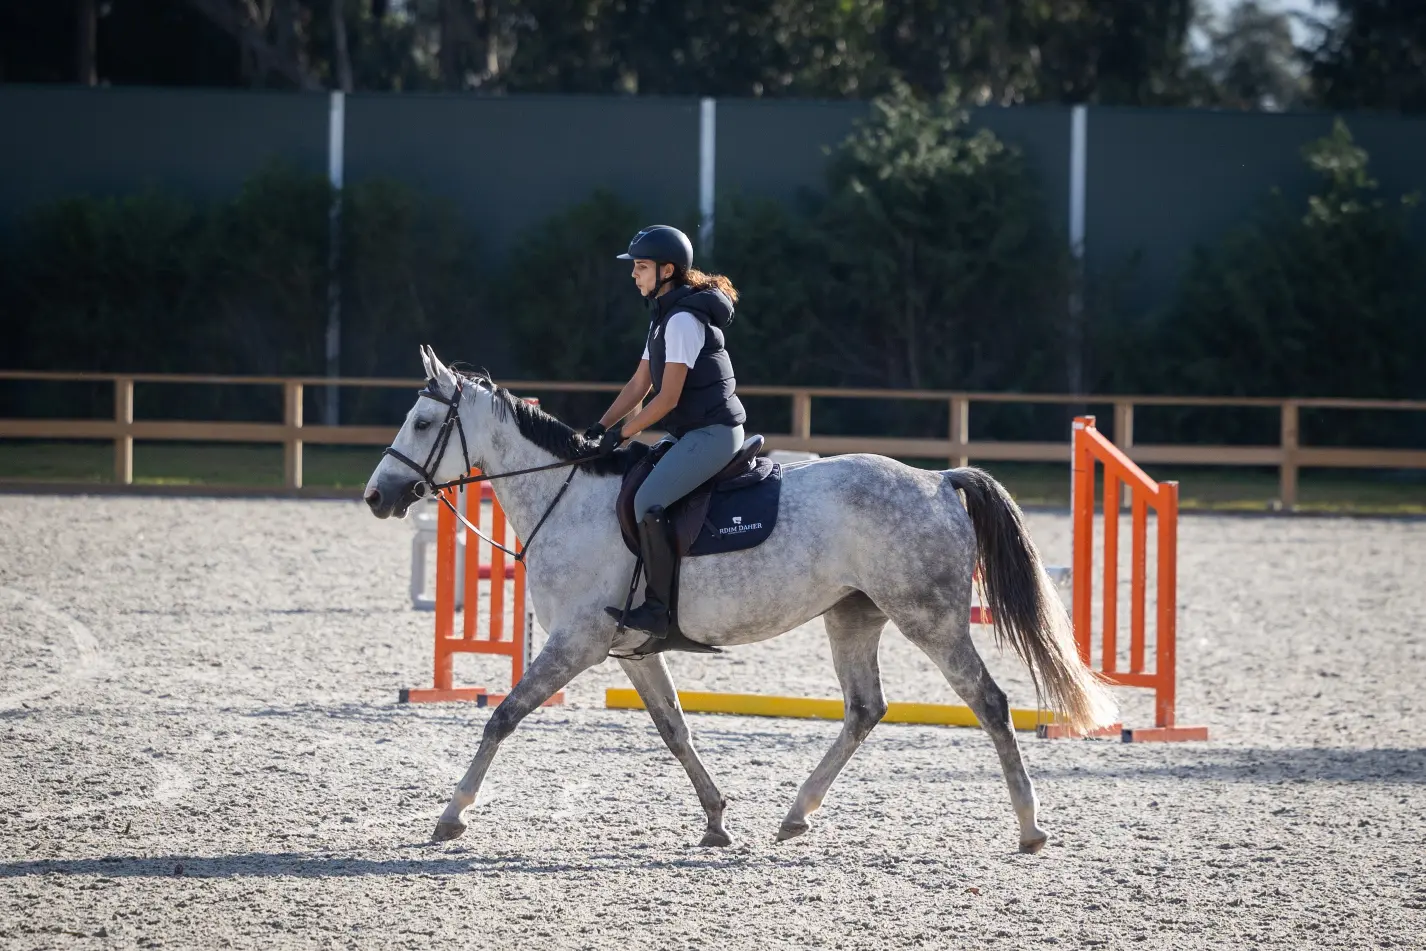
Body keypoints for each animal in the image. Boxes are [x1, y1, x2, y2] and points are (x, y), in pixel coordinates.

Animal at [363, 346, 1118, 853]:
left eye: (423, 422)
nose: (376, 496)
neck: (566, 496)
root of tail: (938, 481)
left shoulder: (575, 643)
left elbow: (503, 717)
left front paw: (452, 814)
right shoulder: (629, 650)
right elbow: (675, 730)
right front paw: (717, 819)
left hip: (928, 619)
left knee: (988, 702)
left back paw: (1030, 826)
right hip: (854, 615)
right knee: (864, 709)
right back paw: (797, 813)